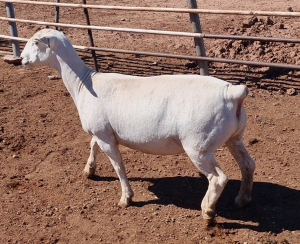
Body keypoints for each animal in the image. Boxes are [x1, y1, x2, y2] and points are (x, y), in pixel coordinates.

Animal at [21, 28, 255, 225]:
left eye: (35, 42)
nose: (21, 59)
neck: (84, 83)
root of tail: (232, 93)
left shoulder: (105, 136)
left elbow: (118, 166)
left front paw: (126, 198)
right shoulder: (102, 131)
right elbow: (92, 145)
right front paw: (89, 170)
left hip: (199, 145)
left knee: (218, 178)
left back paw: (207, 212)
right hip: (234, 137)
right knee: (248, 164)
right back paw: (242, 199)